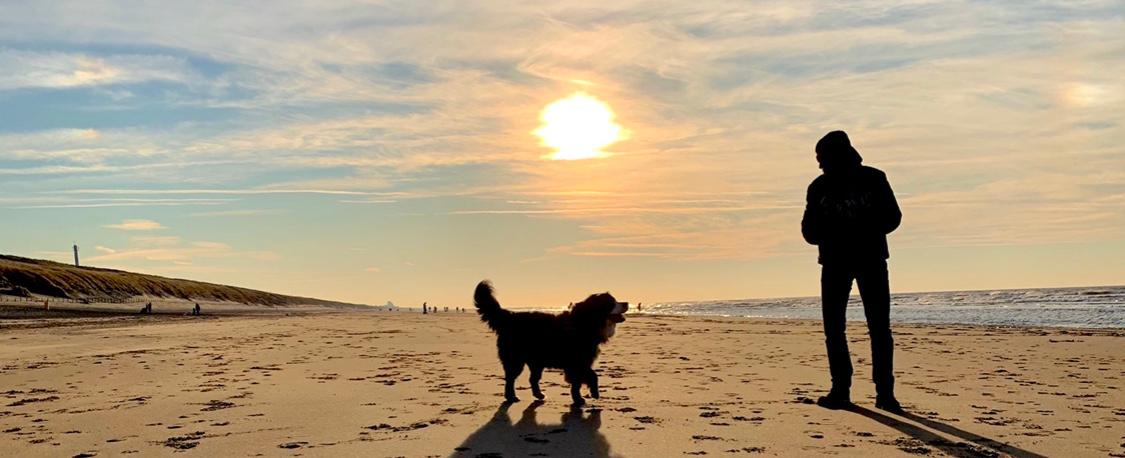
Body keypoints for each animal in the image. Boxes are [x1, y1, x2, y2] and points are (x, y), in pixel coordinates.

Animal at [474, 280, 627, 405]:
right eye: (611, 302)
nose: (626, 303)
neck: (585, 323)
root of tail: (509, 318)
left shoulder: (580, 363)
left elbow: (578, 382)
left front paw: (578, 398)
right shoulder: (577, 362)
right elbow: (591, 376)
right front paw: (589, 395)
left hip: (536, 361)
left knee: (532, 379)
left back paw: (538, 395)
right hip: (515, 359)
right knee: (510, 379)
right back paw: (511, 397)